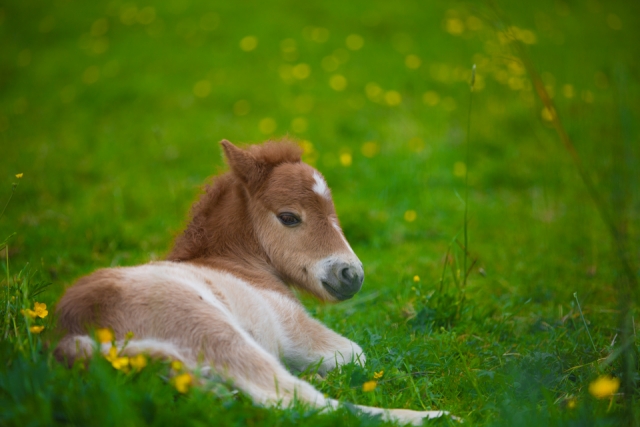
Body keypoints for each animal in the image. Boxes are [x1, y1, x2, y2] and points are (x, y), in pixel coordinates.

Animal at [54, 140, 451, 425]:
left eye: (334, 212)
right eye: (289, 217)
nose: (351, 275)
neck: (237, 264)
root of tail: (68, 336)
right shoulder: (297, 329)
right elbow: (355, 355)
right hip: (214, 332)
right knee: (294, 400)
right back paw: (435, 416)